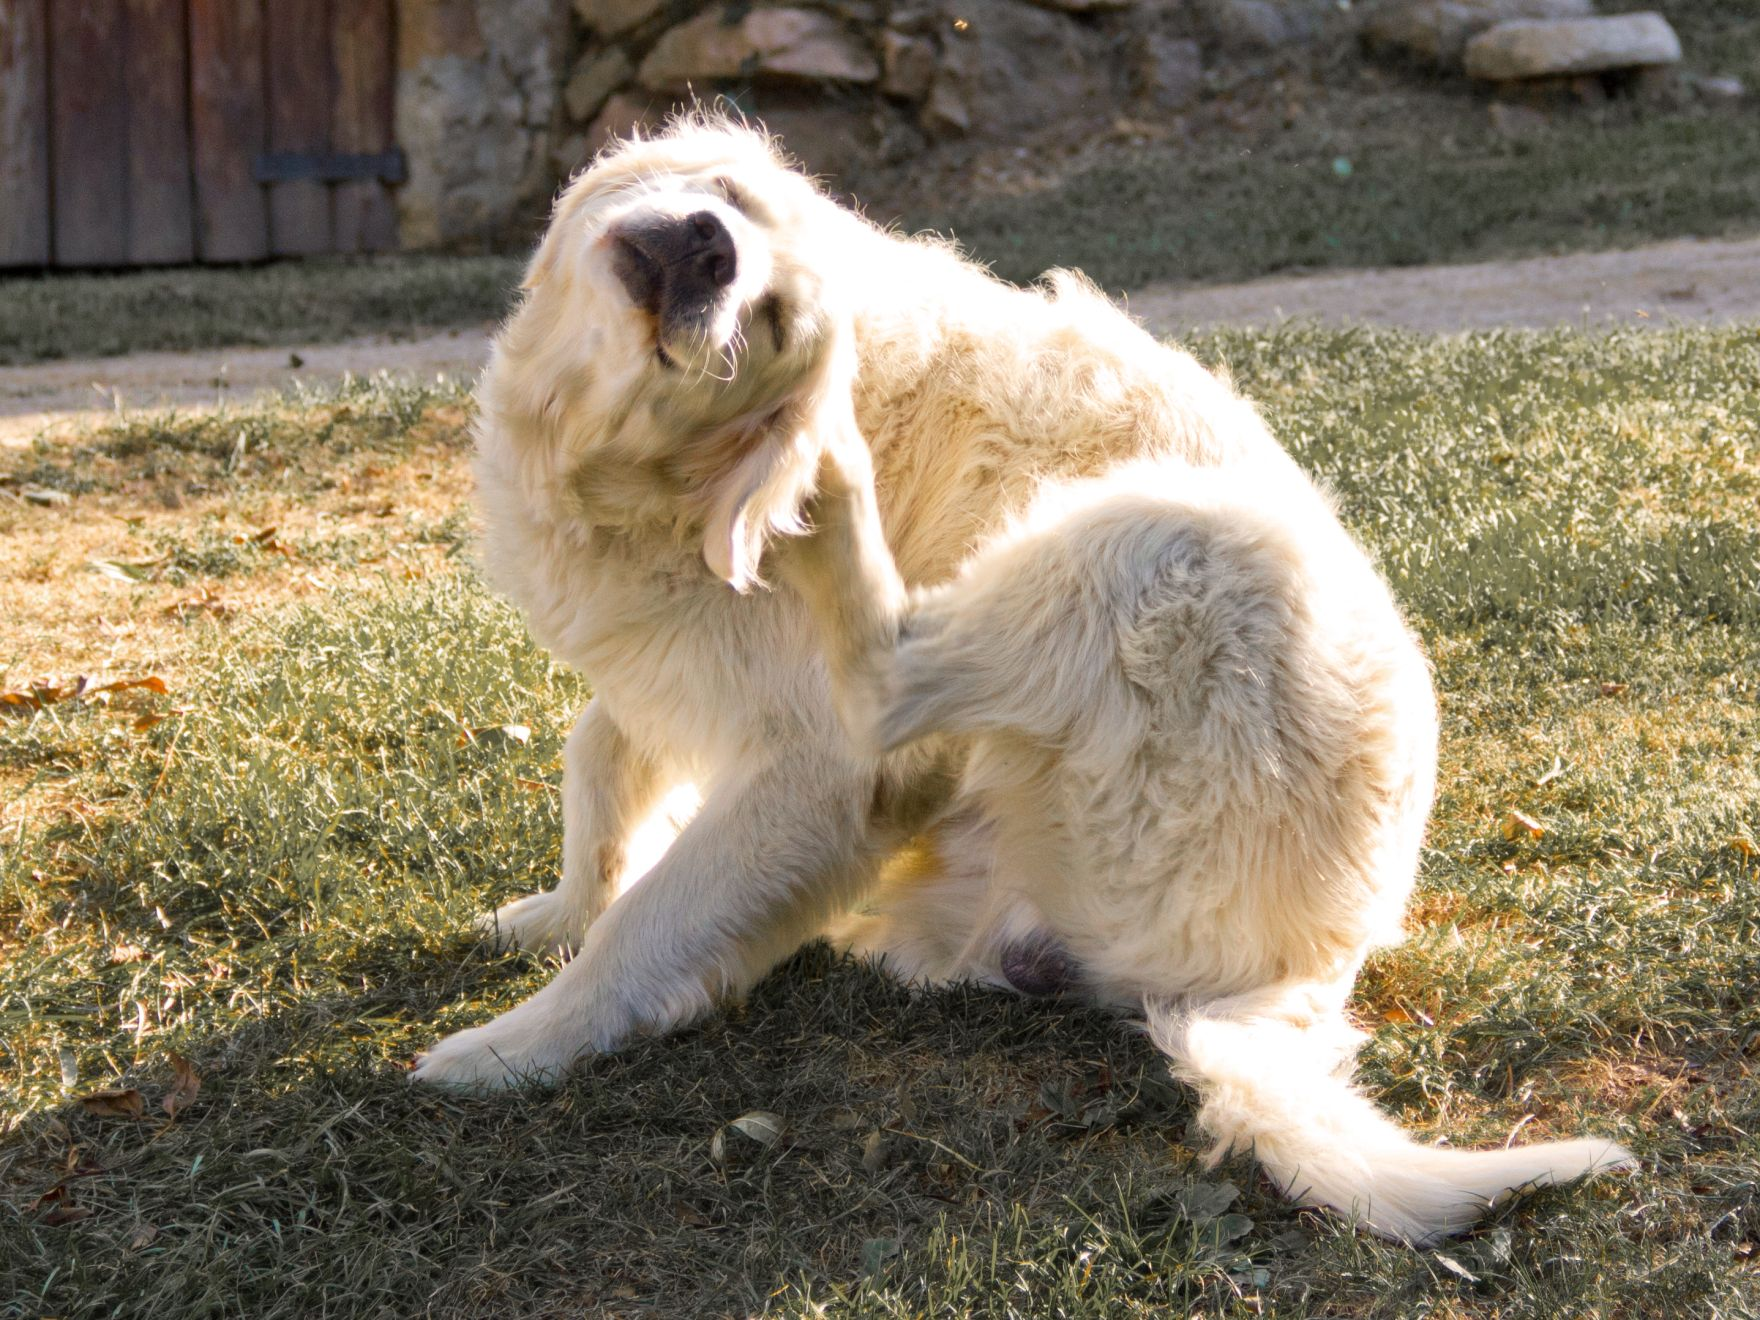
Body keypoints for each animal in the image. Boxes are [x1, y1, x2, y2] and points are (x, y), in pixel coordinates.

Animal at [415, 118, 1633, 1246]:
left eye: (772, 325)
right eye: (726, 198)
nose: (715, 247)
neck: (637, 477)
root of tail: (1304, 973)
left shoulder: (814, 771)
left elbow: (647, 922)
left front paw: (513, 1046)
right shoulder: (664, 663)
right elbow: (598, 760)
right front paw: (558, 909)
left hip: (1168, 534)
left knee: (893, 677)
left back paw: (836, 497)